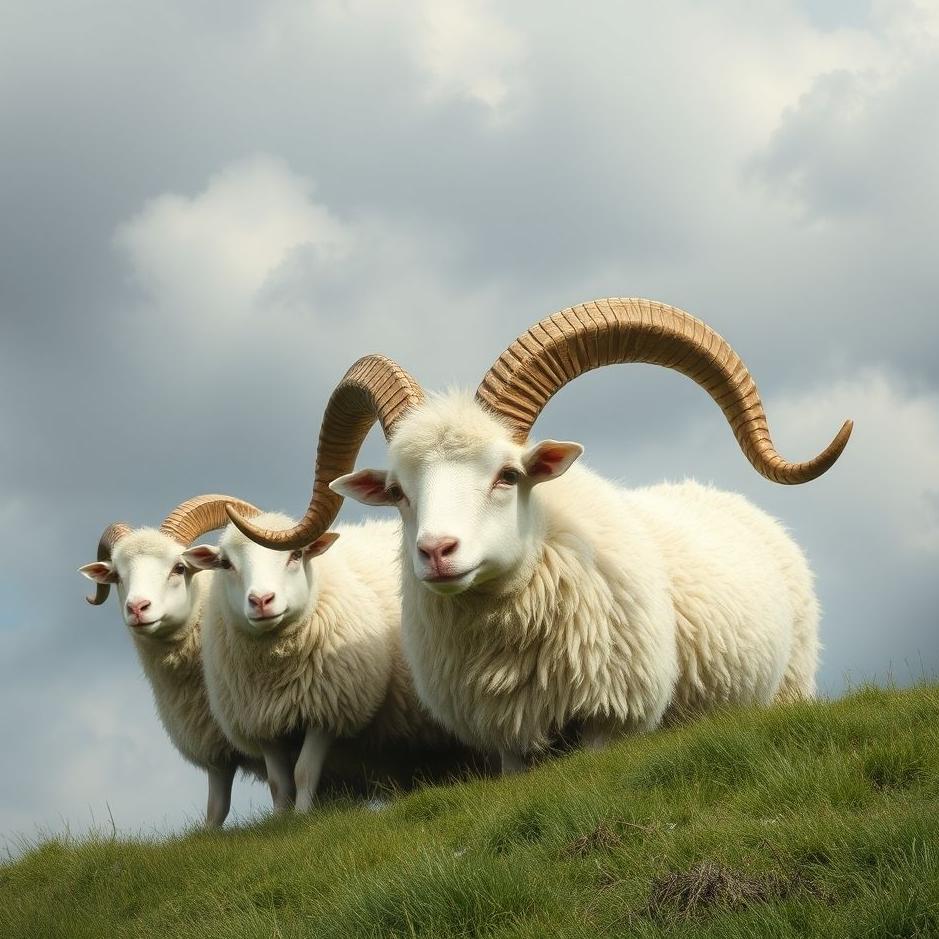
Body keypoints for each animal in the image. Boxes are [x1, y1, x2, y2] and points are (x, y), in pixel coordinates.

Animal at [183, 513, 458, 812]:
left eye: (296, 554)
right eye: (225, 564)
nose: (261, 601)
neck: (275, 675)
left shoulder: (326, 710)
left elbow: (304, 772)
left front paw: (302, 816)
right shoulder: (262, 723)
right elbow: (278, 784)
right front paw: (280, 818)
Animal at [227, 298, 852, 773]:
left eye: (508, 475)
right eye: (400, 492)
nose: (436, 552)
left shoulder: (611, 719)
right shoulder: (506, 736)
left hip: (788, 686)